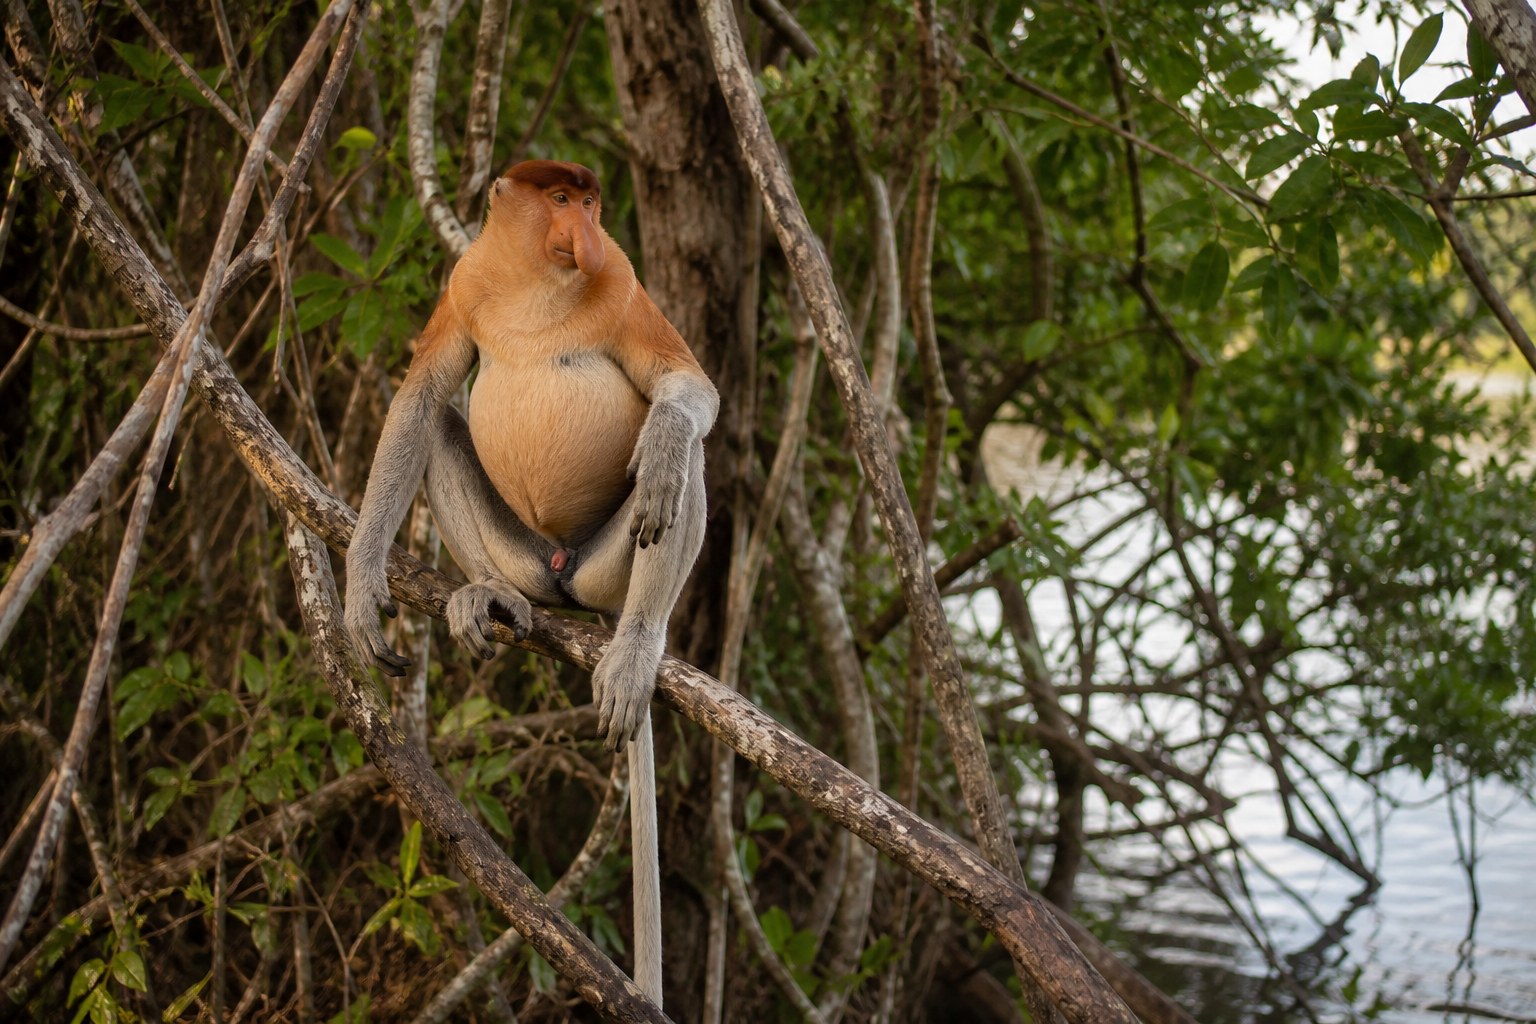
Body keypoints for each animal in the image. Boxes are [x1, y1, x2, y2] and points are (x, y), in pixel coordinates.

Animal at [343, 160, 717, 1007]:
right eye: (559, 199)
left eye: (591, 204)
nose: (584, 232)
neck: (536, 286)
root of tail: (564, 574)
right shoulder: (464, 284)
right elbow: (418, 401)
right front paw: (359, 581)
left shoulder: (623, 281)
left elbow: (689, 389)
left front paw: (665, 436)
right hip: (523, 552)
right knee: (443, 425)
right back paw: (492, 595)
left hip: (609, 565)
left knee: (684, 471)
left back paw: (638, 643)